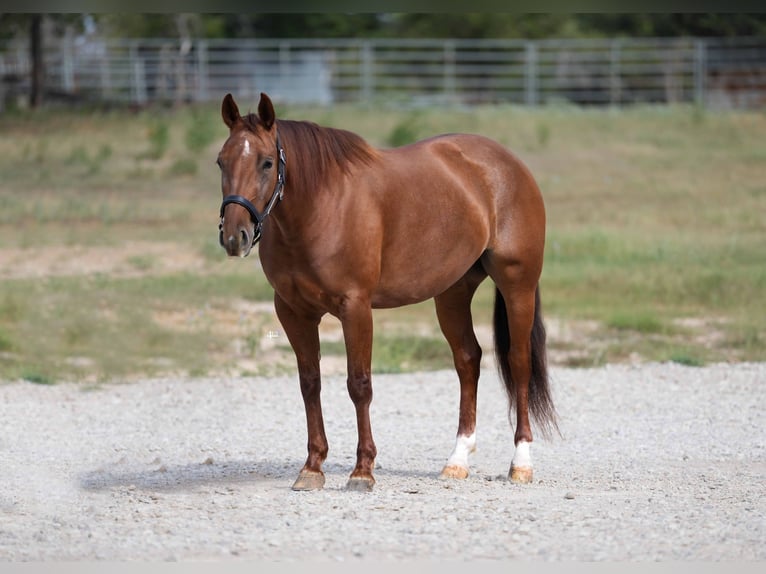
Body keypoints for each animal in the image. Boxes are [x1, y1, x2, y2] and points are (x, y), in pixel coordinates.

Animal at [216, 92, 558, 492]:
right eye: (221, 161)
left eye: (267, 162)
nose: (234, 237)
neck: (321, 206)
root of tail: (509, 163)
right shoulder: (293, 311)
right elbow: (310, 384)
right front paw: (312, 467)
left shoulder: (356, 307)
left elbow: (359, 384)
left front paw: (362, 470)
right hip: (453, 292)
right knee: (467, 359)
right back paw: (457, 460)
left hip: (518, 285)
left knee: (519, 363)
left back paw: (521, 463)